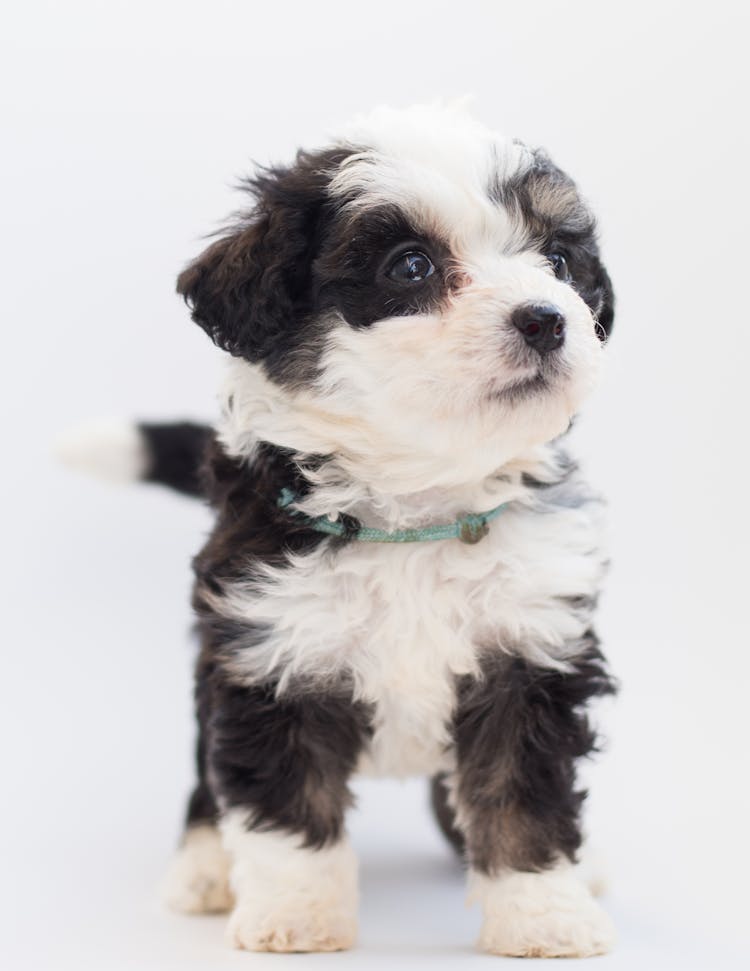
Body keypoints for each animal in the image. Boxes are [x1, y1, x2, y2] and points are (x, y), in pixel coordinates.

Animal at [63, 104, 616, 956]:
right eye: (410, 266)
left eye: (558, 258)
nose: (547, 319)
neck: (417, 511)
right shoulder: (271, 650)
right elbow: (285, 804)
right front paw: (296, 918)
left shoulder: (529, 650)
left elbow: (524, 795)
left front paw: (544, 915)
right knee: (205, 777)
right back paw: (204, 866)